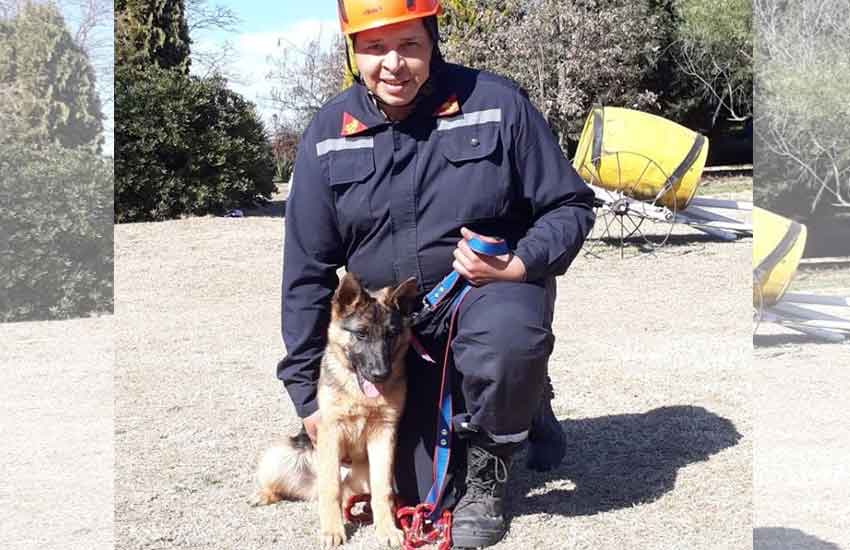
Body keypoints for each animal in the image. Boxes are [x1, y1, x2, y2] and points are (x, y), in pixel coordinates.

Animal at [252, 274, 418, 548]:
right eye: (361, 334)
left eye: (391, 335)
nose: (381, 374)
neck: (358, 394)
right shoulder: (330, 432)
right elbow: (331, 488)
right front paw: (332, 531)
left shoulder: (383, 435)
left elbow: (383, 490)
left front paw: (387, 529)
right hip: (280, 455)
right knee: (306, 487)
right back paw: (265, 494)